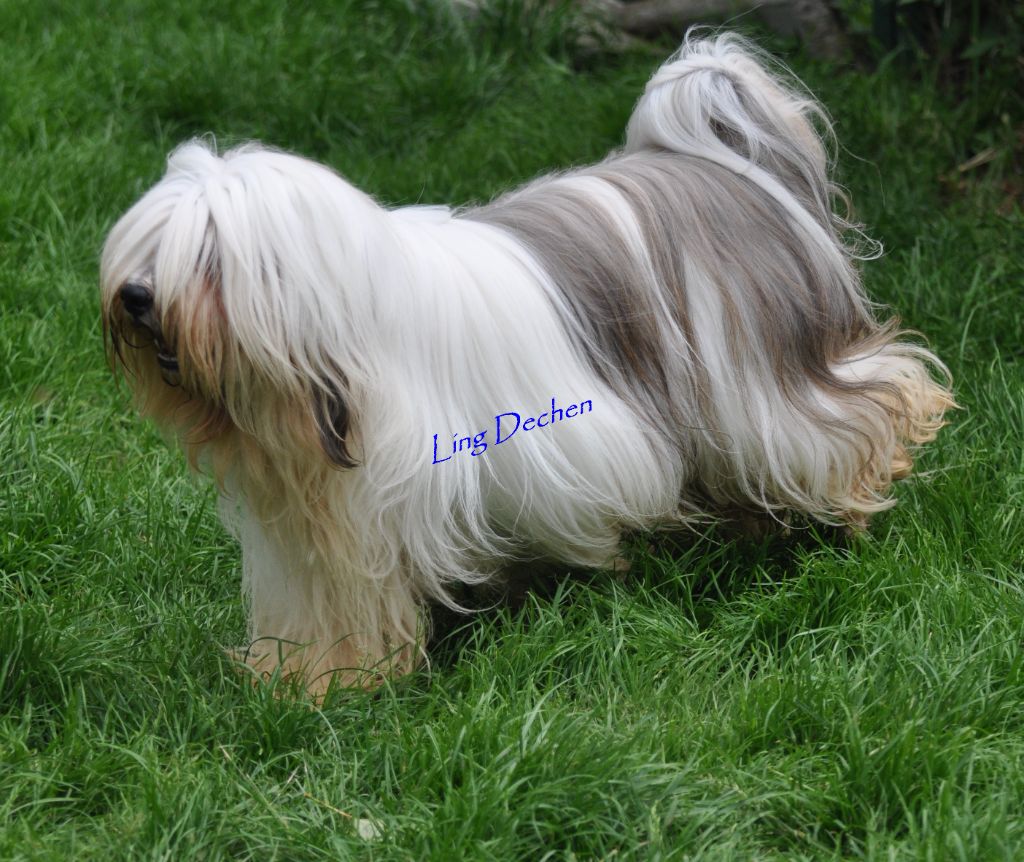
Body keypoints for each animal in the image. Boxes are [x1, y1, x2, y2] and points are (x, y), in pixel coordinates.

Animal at [101, 33, 950, 696]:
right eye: (149, 246)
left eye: (209, 259)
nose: (136, 297)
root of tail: (736, 173)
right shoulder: (321, 524)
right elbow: (336, 605)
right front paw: (314, 681)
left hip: (766, 389)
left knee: (873, 401)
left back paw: (864, 491)